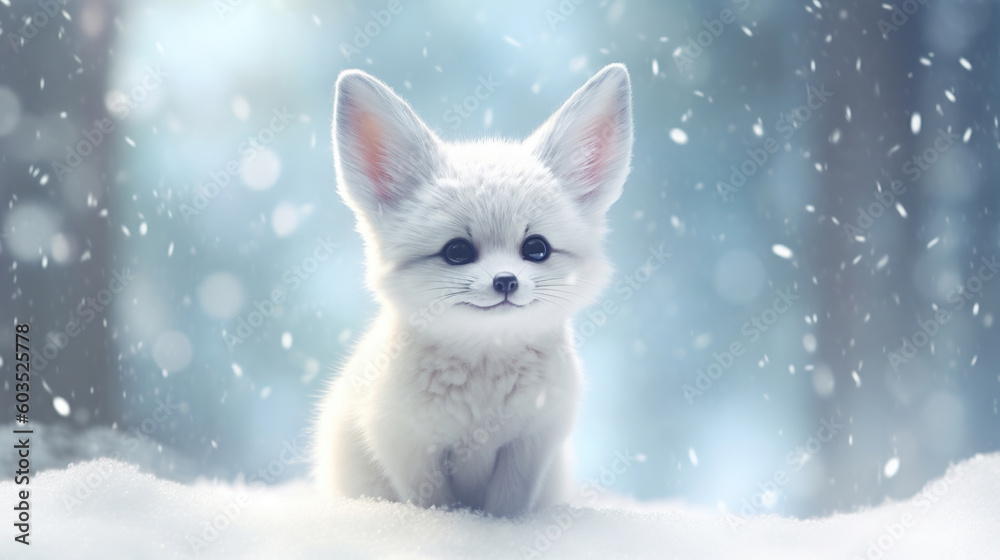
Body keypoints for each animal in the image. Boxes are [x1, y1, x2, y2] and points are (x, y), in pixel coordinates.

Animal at [314, 63, 634, 517]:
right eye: (458, 251)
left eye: (536, 248)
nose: (505, 281)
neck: (483, 394)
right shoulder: (409, 448)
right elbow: (438, 508)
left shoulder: (530, 444)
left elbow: (506, 509)